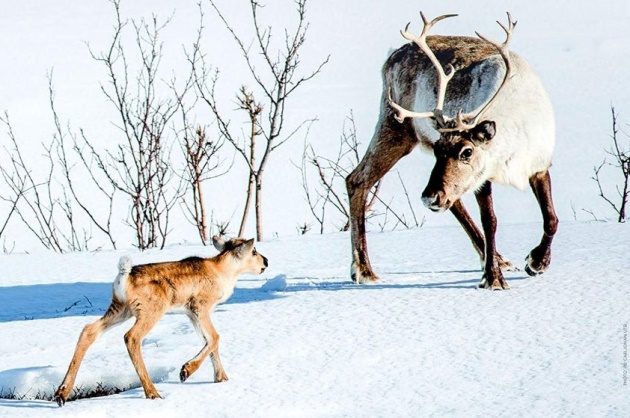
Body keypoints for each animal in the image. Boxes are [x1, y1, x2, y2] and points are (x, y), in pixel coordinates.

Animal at [54, 235, 270, 404]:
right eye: (253, 251)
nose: (266, 262)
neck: (223, 272)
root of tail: (124, 276)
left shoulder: (190, 312)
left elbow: (209, 340)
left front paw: (221, 378)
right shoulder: (200, 306)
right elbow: (216, 337)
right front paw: (185, 371)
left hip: (120, 309)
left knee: (89, 330)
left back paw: (61, 394)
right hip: (151, 310)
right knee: (131, 337)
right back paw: (153, 393)